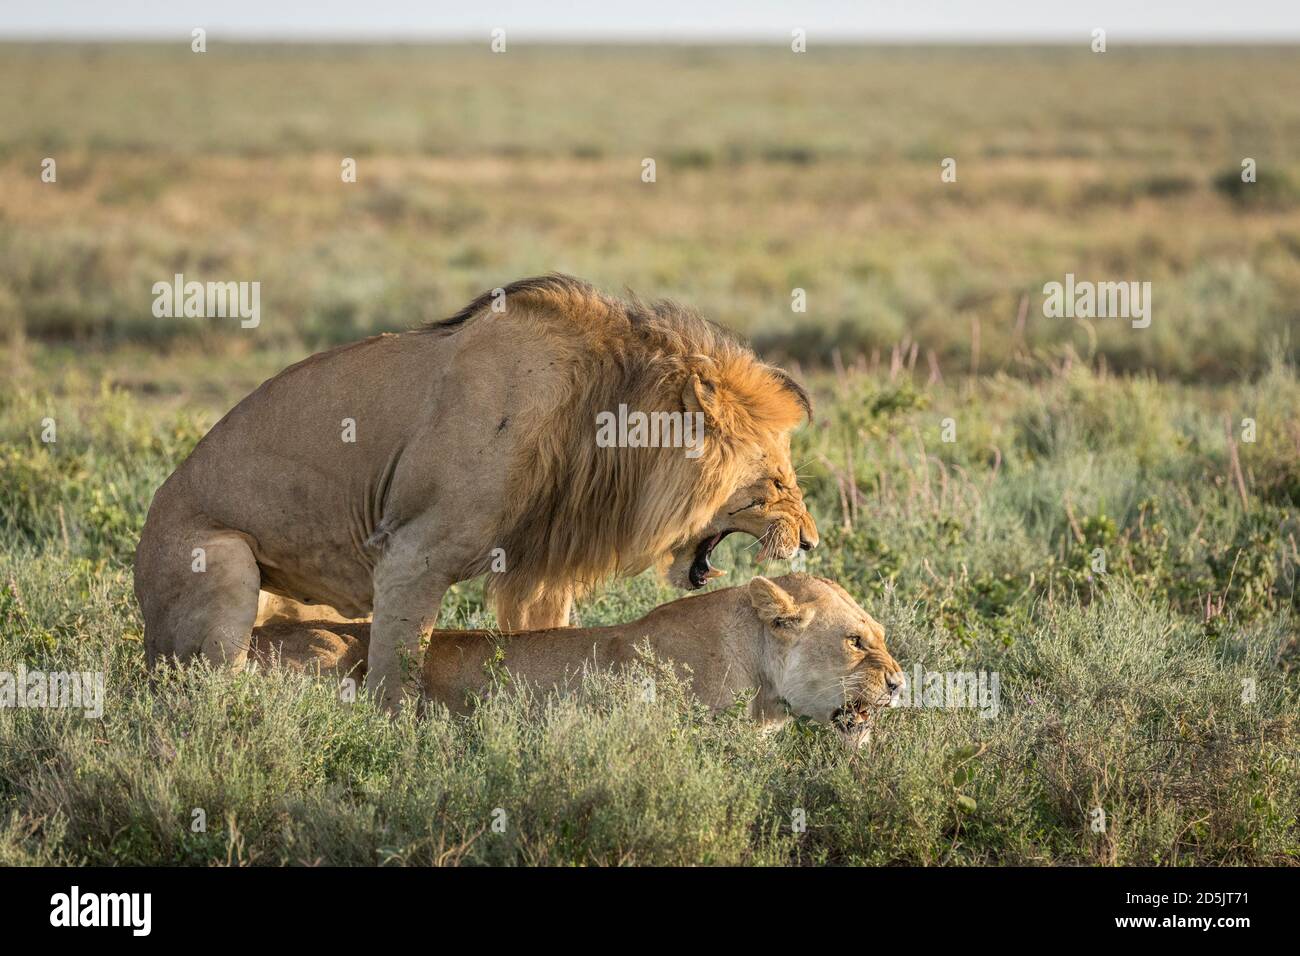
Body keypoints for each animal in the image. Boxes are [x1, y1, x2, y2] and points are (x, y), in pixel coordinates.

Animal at [137, 277, 816, 712]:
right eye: (778, 482)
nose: (811, 541)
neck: (601, 424)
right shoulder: (411, 554)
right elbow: (397, 671)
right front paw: (384, 739)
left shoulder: (541, 572)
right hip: (223, 569)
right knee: (205, 689)